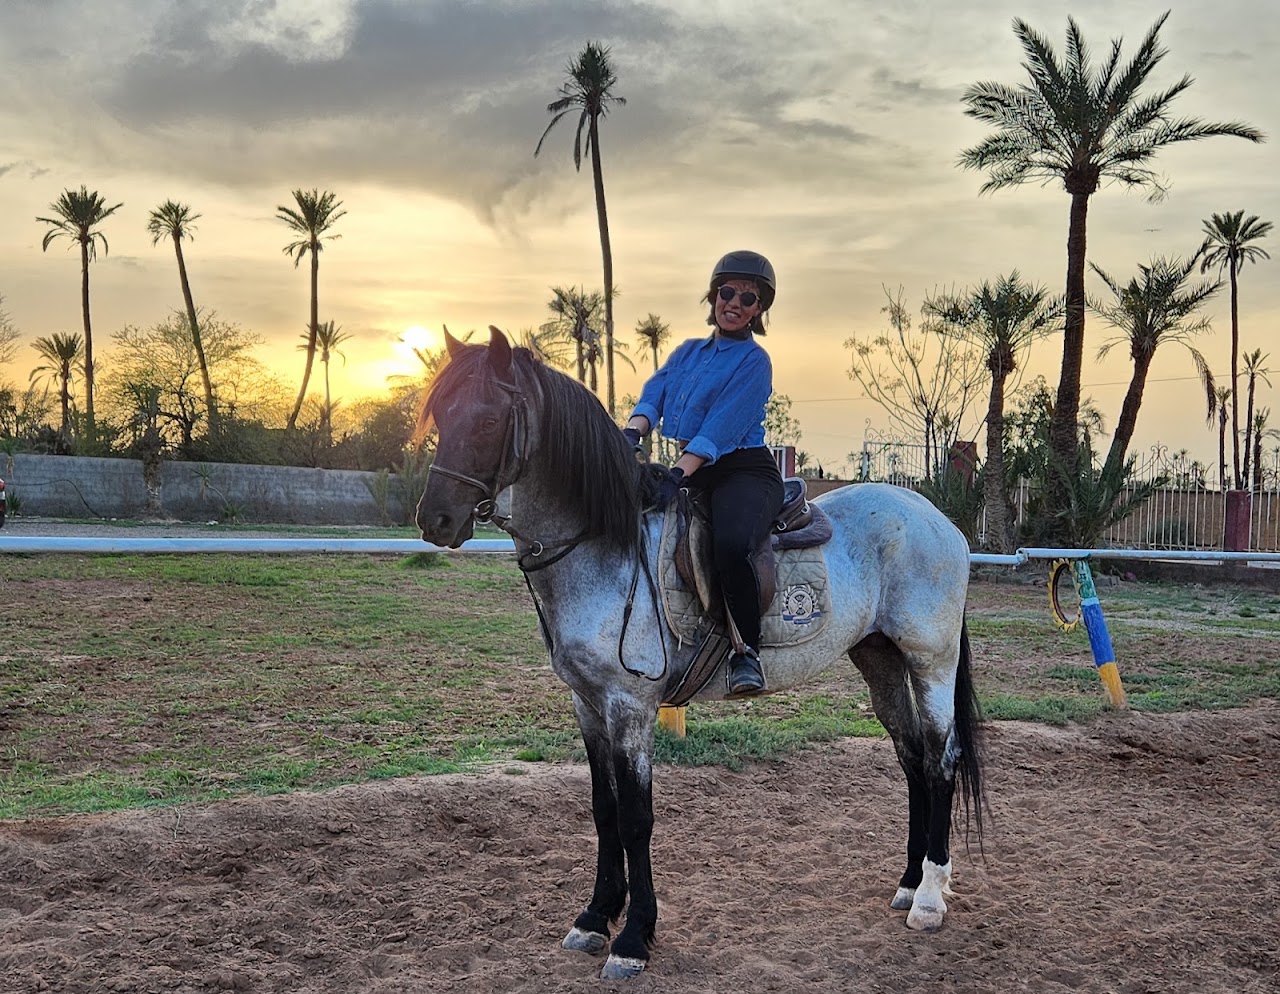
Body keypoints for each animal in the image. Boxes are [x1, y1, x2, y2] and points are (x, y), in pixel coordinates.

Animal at [415, 327, 985, 980]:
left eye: (487, 420)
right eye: (441, 414)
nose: (435, 519)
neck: (606, 548)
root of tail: (938, 520)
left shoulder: (630, 706)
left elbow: (636, 819)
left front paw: (633, 937)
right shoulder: (588, 705)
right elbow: (603, 809)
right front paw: (594, 918)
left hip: (930, 661)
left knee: (940, 761)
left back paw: (930, 899)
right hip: (880, 659)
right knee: (912, 758)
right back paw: (909, 882)